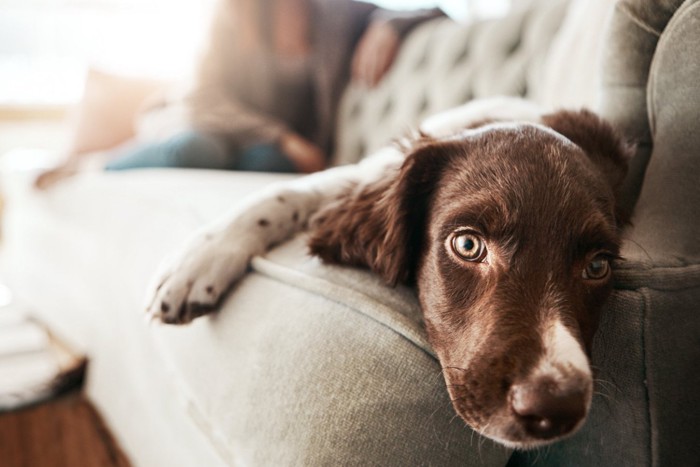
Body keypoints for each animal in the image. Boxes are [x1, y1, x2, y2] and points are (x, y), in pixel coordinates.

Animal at [145, 99, 632, 450]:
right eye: (468, 245)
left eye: (598, 265)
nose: (554, 406)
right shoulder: (362, 173)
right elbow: (284, 194)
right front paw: (197, 262)